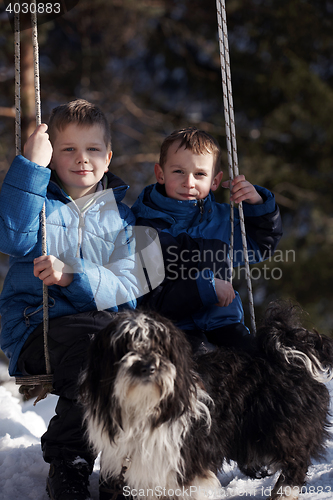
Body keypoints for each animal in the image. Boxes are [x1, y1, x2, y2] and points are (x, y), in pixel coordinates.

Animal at [79, 300, 332, 500]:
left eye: (160, 347)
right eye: (125, 346)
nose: (148, 366)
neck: (145, 406)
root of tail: (289, 353)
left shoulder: (186, 463)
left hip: (281, 427)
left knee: (296, 462)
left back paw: (283, 494)